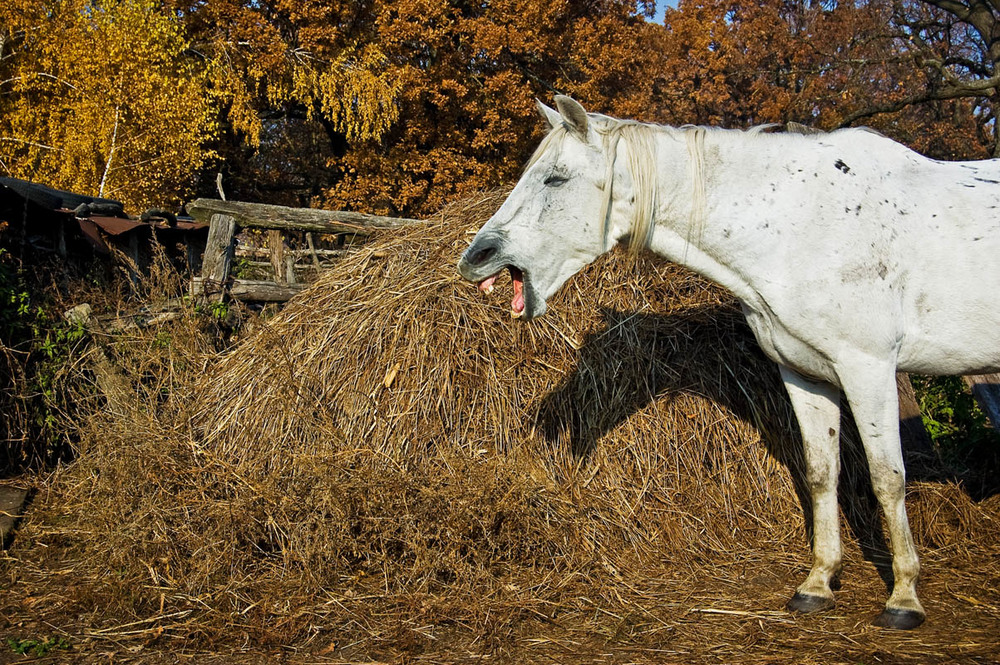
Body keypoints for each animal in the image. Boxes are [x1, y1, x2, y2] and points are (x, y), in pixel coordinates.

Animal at [458, 94, 1000, 628]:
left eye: (555, 178)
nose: (475, 258)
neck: (801, 224)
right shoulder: (805, 375)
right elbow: (821, 472)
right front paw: (818, 583)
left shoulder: (869, 369)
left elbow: (888, 479)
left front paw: (904, 596)